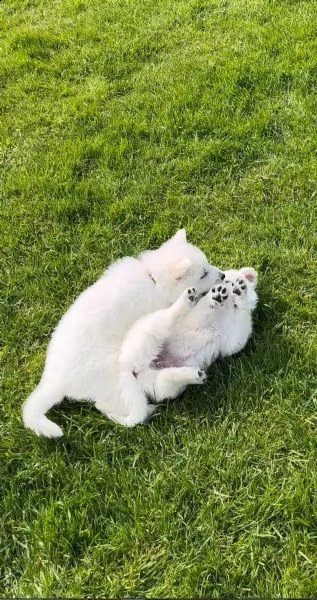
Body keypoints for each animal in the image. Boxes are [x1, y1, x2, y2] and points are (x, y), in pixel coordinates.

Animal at [22, 229, 222, 436]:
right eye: (203, 274)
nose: (223, 275)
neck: (152, 279)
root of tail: (56, 382)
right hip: (114, 371)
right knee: (112, 403)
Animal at [115, 268, 256, 426]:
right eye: (226, 282)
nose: (229, 288)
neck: (225, 310)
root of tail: (127, 368)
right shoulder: (197, 318)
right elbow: (206, 308)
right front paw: (219, 295)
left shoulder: (234, 338)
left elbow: (242, 315)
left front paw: (239, 292)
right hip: (150, 331)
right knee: (168, 317)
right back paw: (186, 299)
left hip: (160, 385)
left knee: (169, 376)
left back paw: (195, 375)